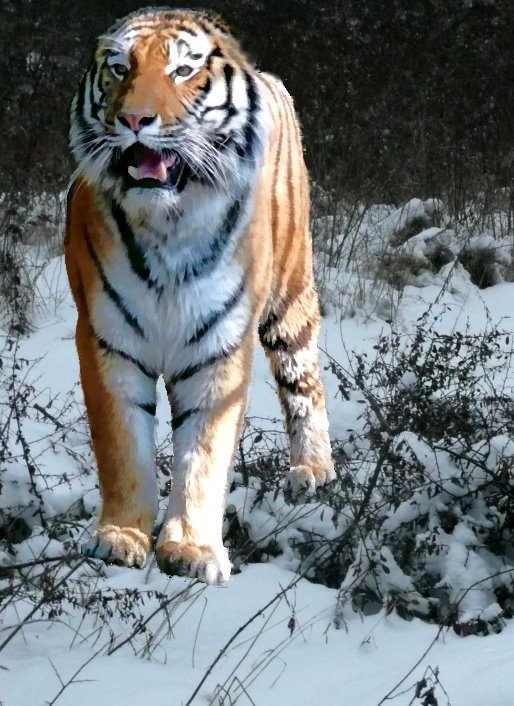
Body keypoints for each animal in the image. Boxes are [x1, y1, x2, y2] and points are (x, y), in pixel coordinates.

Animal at [64, 6, 335, 585]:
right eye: (119, 69)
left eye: (183, 71)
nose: (135, 120)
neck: (167, 225)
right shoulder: (108, 341)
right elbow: (123, 447)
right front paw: (119, 537)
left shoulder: (220, 348)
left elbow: (204, 455)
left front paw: (191, 549)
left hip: (292, 297)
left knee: (305, 383)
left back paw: (312, 470)